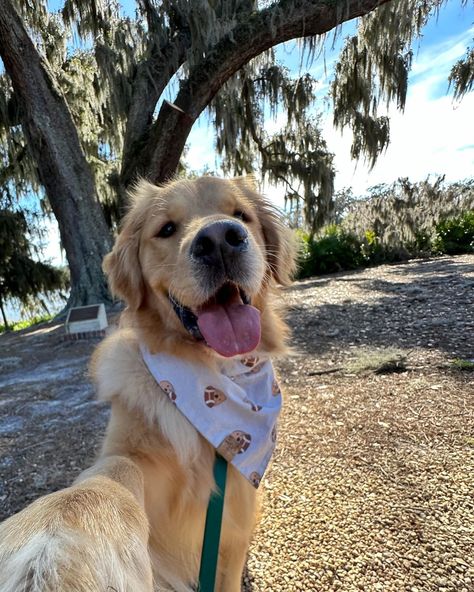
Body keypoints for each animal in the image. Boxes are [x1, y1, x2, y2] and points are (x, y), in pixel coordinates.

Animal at [0, 176, 296, 592]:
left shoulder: (236, 519)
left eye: (241, 215)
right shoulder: (133, 456)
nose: (220, 239)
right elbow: (105, 479)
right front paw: (57, 542)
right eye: (166, 229)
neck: (215, 377)